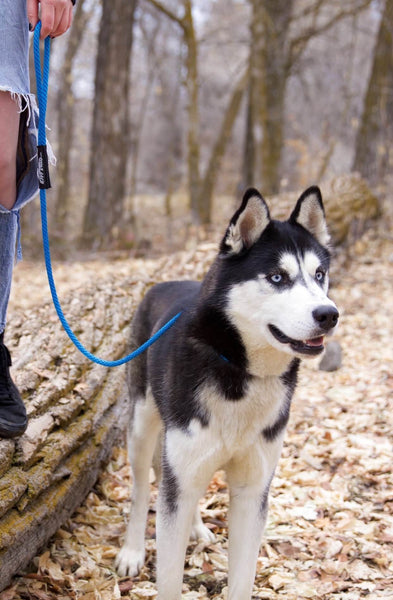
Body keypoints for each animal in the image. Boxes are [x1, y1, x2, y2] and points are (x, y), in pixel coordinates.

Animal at [115, 188, 338, 600]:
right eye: (278, 277)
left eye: (319, 275)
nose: (329, 314)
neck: (242, 372)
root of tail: (164, 283)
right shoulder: (180, 477)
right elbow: (168, 576)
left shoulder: (253, 491)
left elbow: (243, 577)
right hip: (141, 428)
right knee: (141, 489)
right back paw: (132, 550)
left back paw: (198, 528)